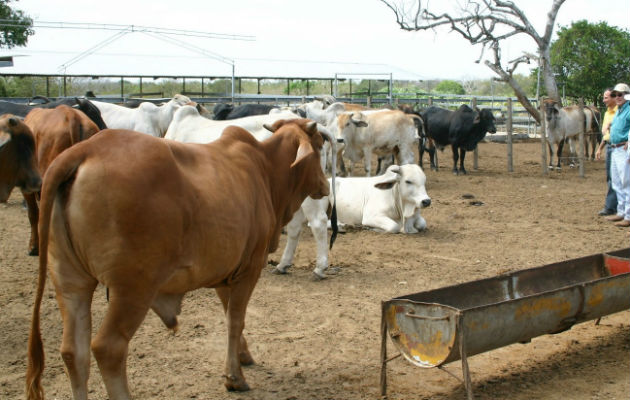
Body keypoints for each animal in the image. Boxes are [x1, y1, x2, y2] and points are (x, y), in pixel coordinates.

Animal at [25, 117, 330, 398]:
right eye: (319, 146)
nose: (326, 185)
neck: (266, 171)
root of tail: (87, 149)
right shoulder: (250, 267)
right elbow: (236, 320)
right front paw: (234, 377)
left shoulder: (226, 271)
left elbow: (230, 315)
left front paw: (242, 356)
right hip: (133, 288)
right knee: (108, 348)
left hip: (70, 281)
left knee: (73, 352)